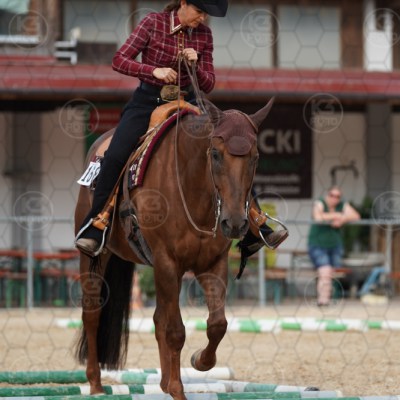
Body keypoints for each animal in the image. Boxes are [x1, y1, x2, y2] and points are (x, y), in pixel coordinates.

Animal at [74, 98, 274, 400]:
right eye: (215, 153)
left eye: (255, 157)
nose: (235, 222)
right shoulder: (167, 261)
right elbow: (176, 331)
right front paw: (179, 390)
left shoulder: (212, 263)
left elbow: (217, 324)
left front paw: (199, 362)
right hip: (95, 257)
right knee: (92, 314)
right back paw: (96, 384)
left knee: (158, 318)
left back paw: (163, 382)